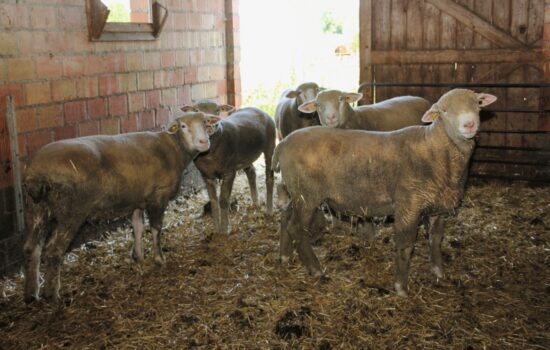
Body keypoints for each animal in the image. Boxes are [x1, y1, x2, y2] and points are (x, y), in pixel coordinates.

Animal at [22, 113, 219, 304]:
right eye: (183, 126)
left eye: (205, 122)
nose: (204, 142)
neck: (172, 148)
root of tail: (35, 174)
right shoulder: (158, 197)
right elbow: (156, 229)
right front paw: (159, 259)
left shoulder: (138, 199)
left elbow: (138, 226)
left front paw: (138, 256)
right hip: (71, 211)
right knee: (54, 250)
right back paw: (53, 295)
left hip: (36, 209)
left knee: (32, 247)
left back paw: (31, 294)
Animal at [274, 89, 498, 296]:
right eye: (443, 111)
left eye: (478, 104)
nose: (469, 124)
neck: (434, 148)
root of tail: (283, 143)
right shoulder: (408, 205)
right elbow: (405, 247)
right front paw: (401, 288)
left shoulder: (437, 206)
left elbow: (435, 239)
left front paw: (438, 271)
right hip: (307, 196)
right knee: (297, 228)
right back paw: (315, 268)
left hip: (296, 192)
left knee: (286, 218)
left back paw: (285, 256)